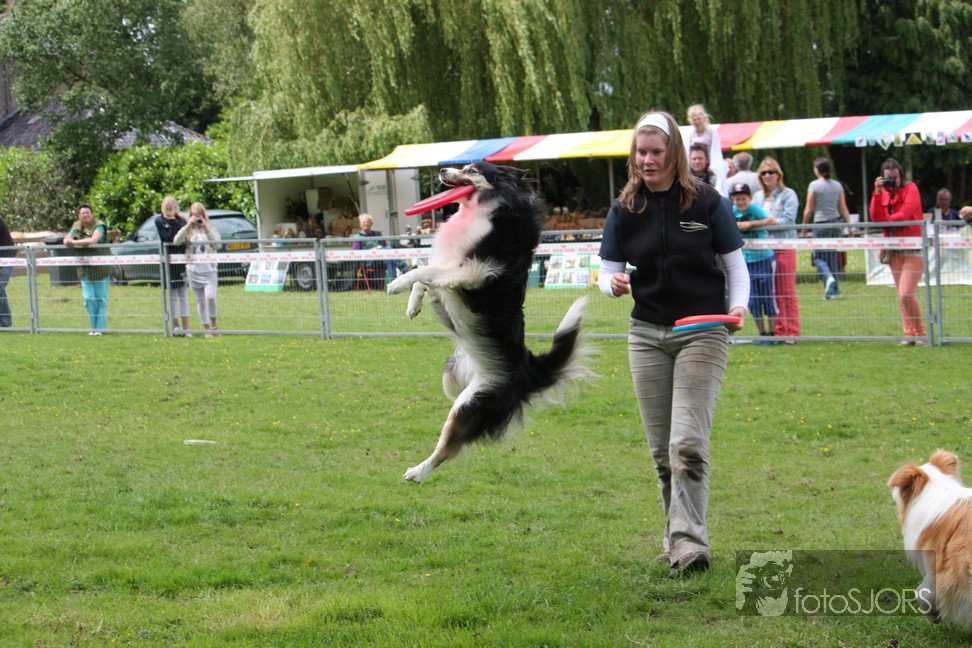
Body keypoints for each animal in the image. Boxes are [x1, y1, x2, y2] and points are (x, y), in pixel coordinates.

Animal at [387, 162, 590, 482]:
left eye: (471, 170)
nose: (442, 169)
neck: (487, 211)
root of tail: (529, 370)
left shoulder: (474, 272)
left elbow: (426, 270)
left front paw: (397, 284)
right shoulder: (456, 270)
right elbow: (425, 274)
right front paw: (412, 305)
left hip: (472, 404)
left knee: (447, 449)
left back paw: (418, 472)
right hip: (452, 376)